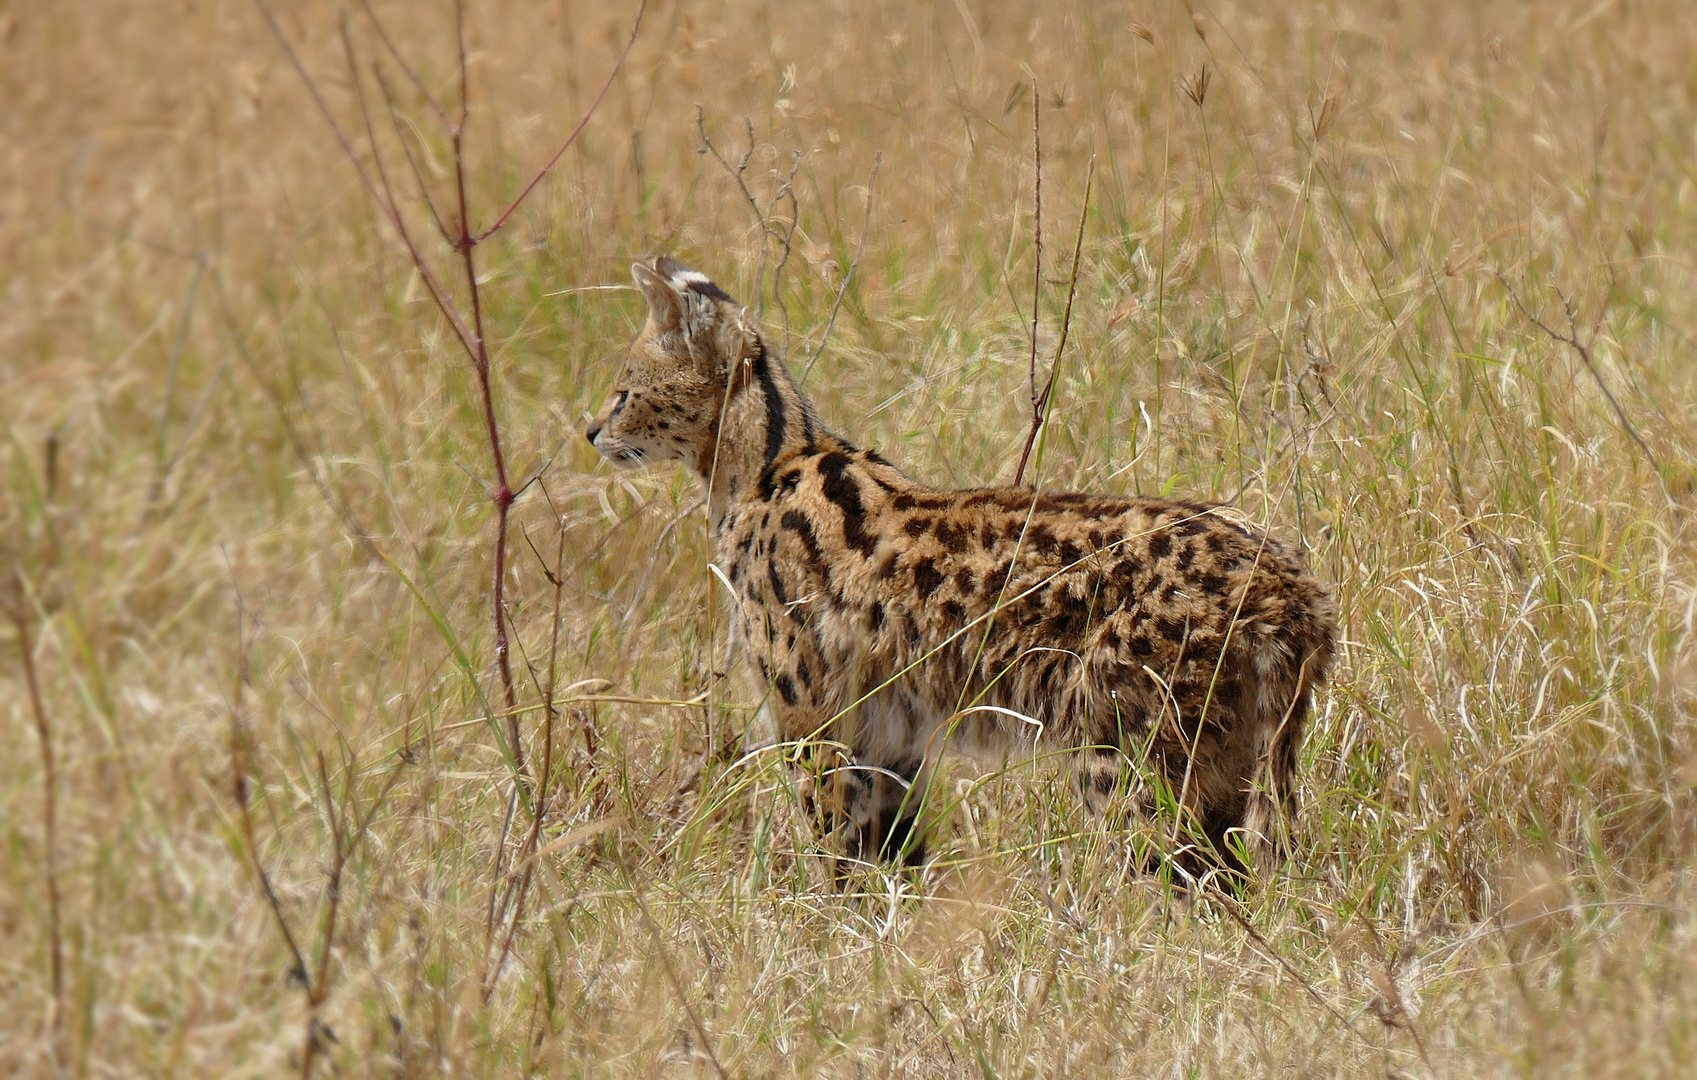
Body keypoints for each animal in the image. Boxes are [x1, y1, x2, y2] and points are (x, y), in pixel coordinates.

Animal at [587, 258, 1337, 883]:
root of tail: (1287, 582)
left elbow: (836, 854)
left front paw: (823, 941)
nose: (591, 431)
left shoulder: (815, 720)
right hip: (1230, 760)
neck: (766, 462)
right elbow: (893, 860)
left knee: (1184, 895)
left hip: (1125, 754)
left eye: (622, 392)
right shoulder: (889, 737)